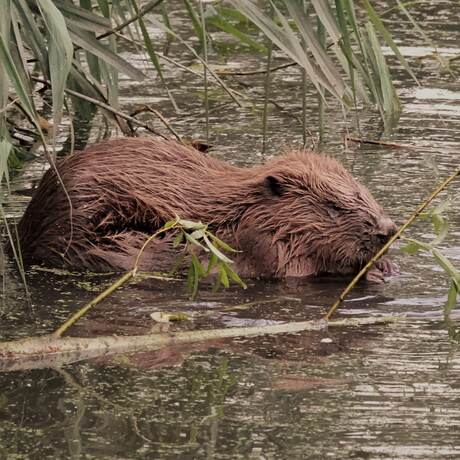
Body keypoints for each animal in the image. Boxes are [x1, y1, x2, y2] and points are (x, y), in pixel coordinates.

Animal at [18, 137, 398, 280]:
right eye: (332, 205)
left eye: (364, 193)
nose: (387, 230)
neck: (240, 211)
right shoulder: (257, 242)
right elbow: (288, 270)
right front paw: (373, 272)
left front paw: (387, 265)